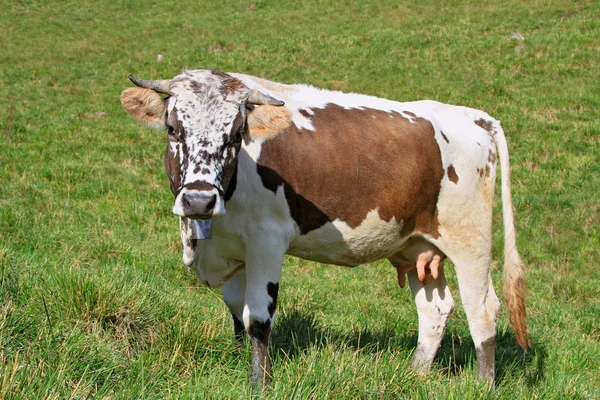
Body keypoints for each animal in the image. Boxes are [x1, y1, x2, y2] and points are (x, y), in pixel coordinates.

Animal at [120, 69, 528, 384]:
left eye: (236, 135)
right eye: (172, 129)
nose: (199, 200)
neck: (203, 239)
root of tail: (475, 116)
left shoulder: (267, 240)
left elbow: (257, 316)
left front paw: (259, 383)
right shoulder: (232, 249)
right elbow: (236, 310)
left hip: (470, 239)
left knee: (482, 310)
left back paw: (482, 384)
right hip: (417, 246)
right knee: (435, 309)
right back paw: (415, 375)